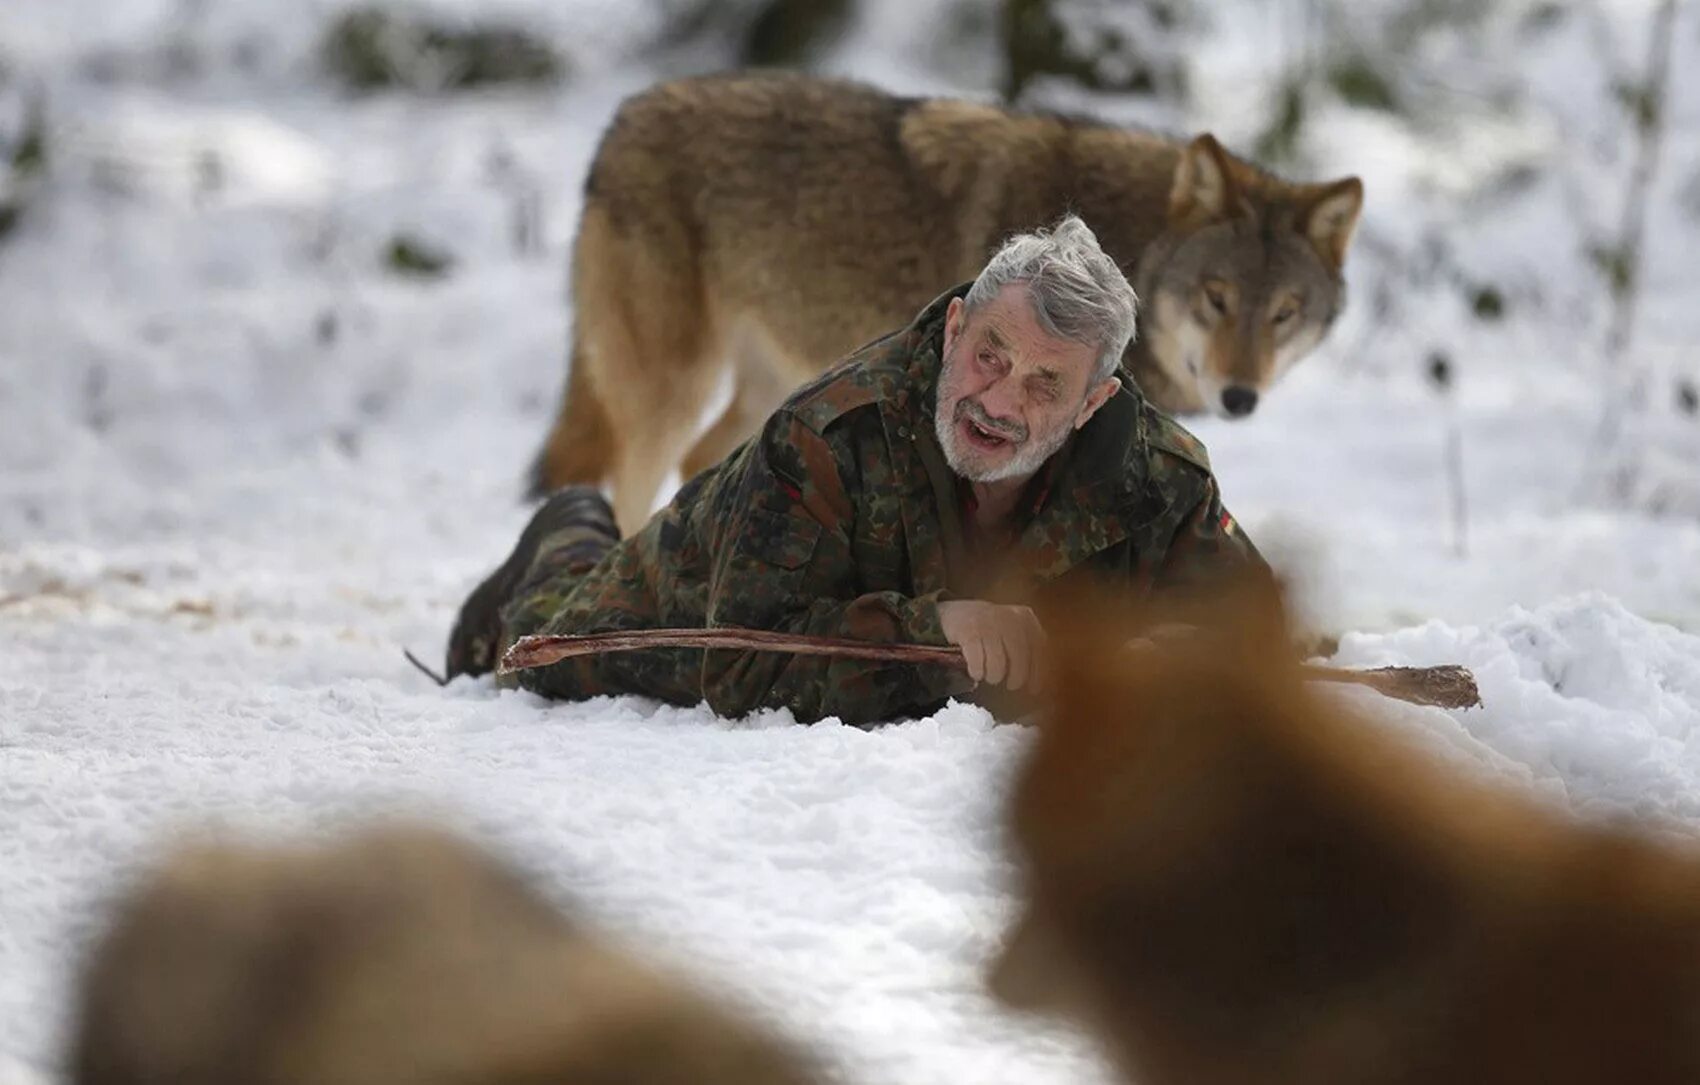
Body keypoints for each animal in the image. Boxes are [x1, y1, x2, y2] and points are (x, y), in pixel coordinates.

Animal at [530, 71, 1366, 530]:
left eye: (1284, 312)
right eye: (1217, 298)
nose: (1239, 397)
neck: (1128, 232)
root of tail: (620, 119)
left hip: (770, 386)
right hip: (671, 390)